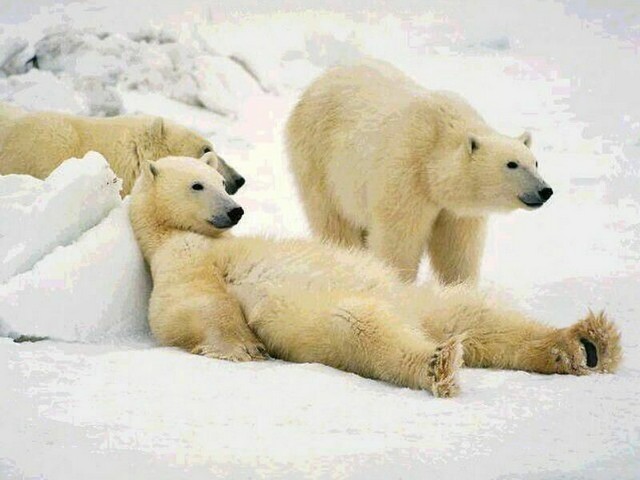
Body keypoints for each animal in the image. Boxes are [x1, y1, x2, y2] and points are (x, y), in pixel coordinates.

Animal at [128, 155, 621, 398]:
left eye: (220, 182)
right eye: (197, 185)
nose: (235, 210)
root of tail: (417, 321)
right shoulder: (178, 259)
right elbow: (190, 306)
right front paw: (243, 348)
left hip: (417, 298)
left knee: (477, 316)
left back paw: (586, 344)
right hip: (328, 317)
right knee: (360, 327)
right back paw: (438, 363)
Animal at [285, 59, 554, 285]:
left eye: (535, 162)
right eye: (511, 164)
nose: (545, 190)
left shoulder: (456, 211)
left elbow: (457, 249)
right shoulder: (406, 174)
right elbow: (399, 240)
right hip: (318, 160)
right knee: (334, 222)